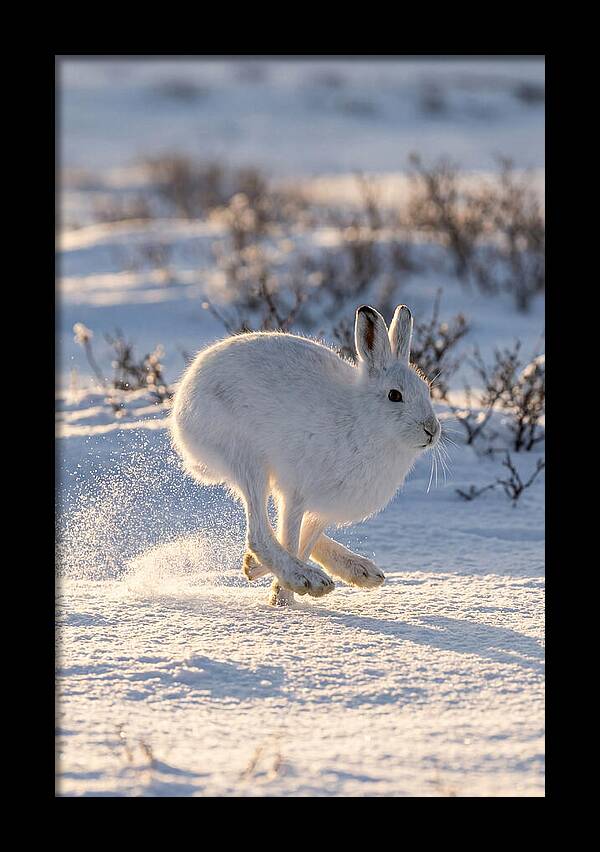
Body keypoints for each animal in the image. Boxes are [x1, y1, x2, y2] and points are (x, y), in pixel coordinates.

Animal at [170, 304, 441, 606]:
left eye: (426, 390)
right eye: (395, 395)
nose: (432, 429)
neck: (364, 421)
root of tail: (182, 402)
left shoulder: (322, 508)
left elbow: (304, 540)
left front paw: (274, 588)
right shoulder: (298, 492)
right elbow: (290, 538)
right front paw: (284, 598)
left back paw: (359, 571)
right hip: (246, 459)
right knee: (259, 533)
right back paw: (305, 578)